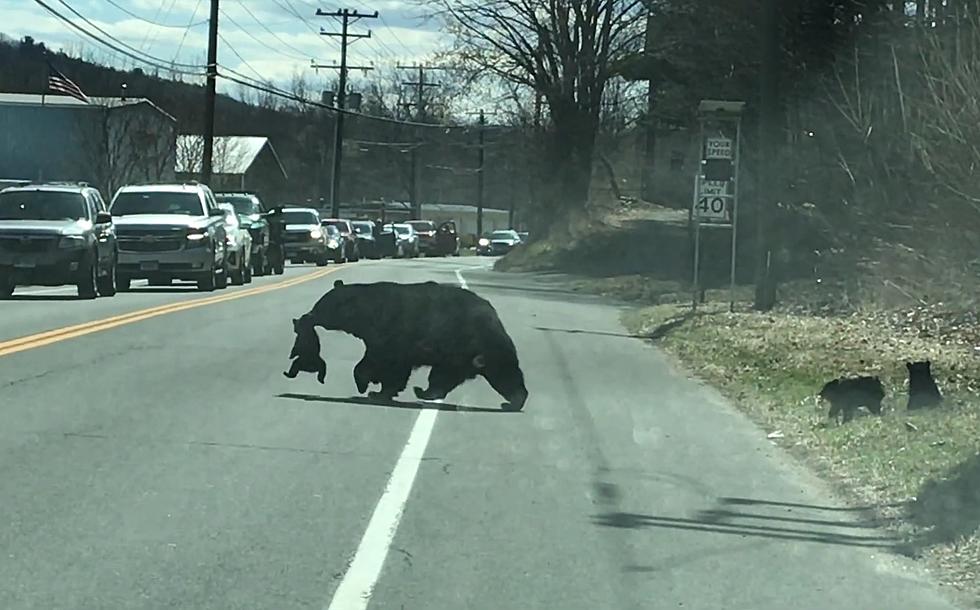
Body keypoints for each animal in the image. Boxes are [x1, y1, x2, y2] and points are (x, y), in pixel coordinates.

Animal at [292, 280, 528, 408]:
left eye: (320, 306)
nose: (307, 316)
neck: (367, 312)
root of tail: (494, 315)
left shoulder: (390, 331)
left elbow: (383, 362)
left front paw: (368, 385)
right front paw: (380, 389)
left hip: (474, 344)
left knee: (501, 371)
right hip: (466, 354)